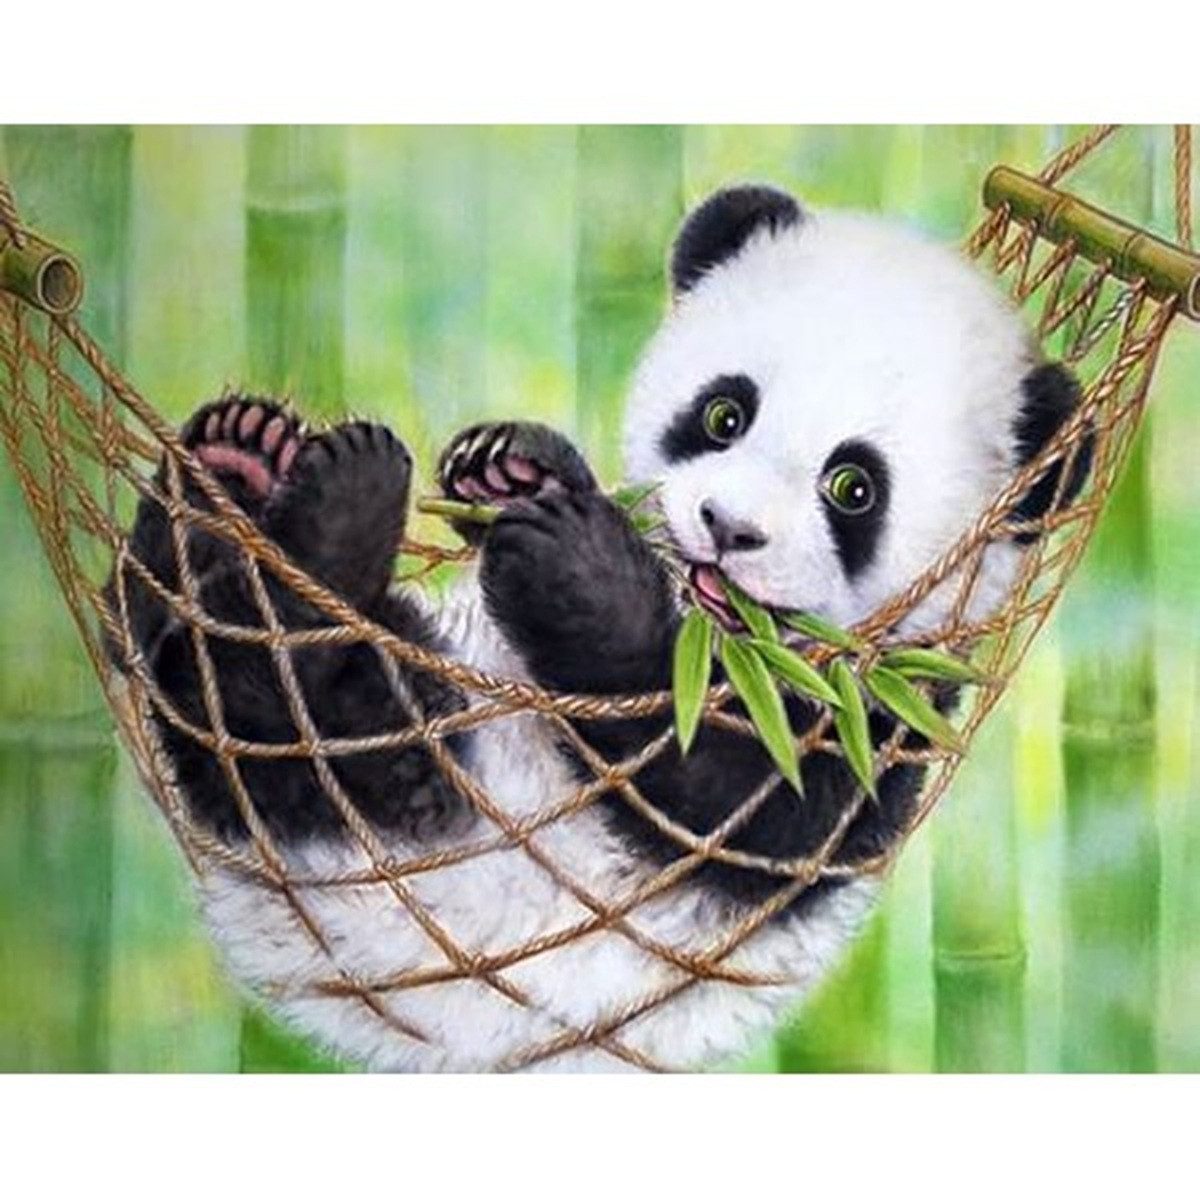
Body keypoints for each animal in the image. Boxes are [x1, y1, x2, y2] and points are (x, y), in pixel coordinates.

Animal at [108, 185, 1082, 1072]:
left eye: (853, 487)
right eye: (724, 414)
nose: (727, 528)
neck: (714, 635)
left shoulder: (870, 727)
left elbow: (712, 794)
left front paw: (574, 568)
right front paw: (515, 468)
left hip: (408, 790)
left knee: (280, 706)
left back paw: (330, 520)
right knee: (155, 630)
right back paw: (234, 463)